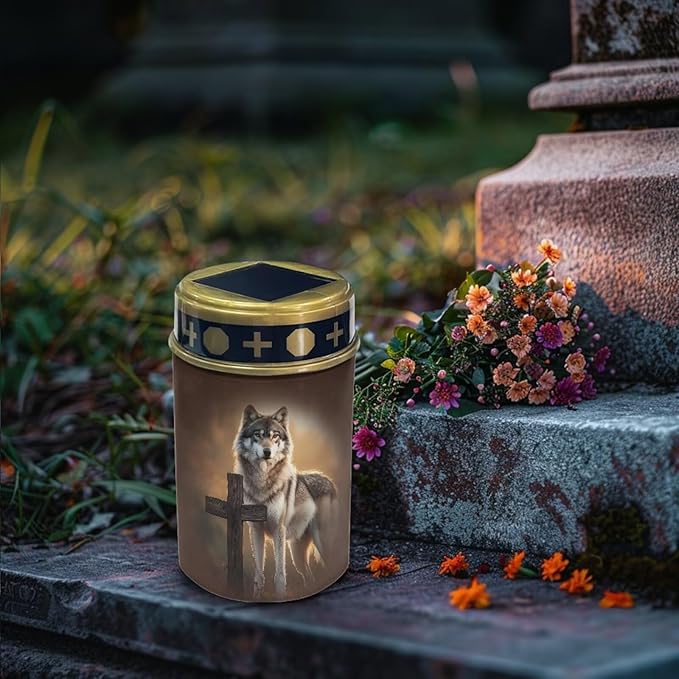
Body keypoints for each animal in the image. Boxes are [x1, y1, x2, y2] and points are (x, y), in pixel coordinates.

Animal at [233, 404, 338, 597]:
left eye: (275, 435)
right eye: (258, 435)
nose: (267, 452)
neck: (262, 483)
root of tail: (329, 481)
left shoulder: (278, 529)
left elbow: (280, 574)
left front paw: (280, 596)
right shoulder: (256, 529)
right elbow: (259, 572)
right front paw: (257, 595)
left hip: (322, 544)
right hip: (297, 556)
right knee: (309, 577)